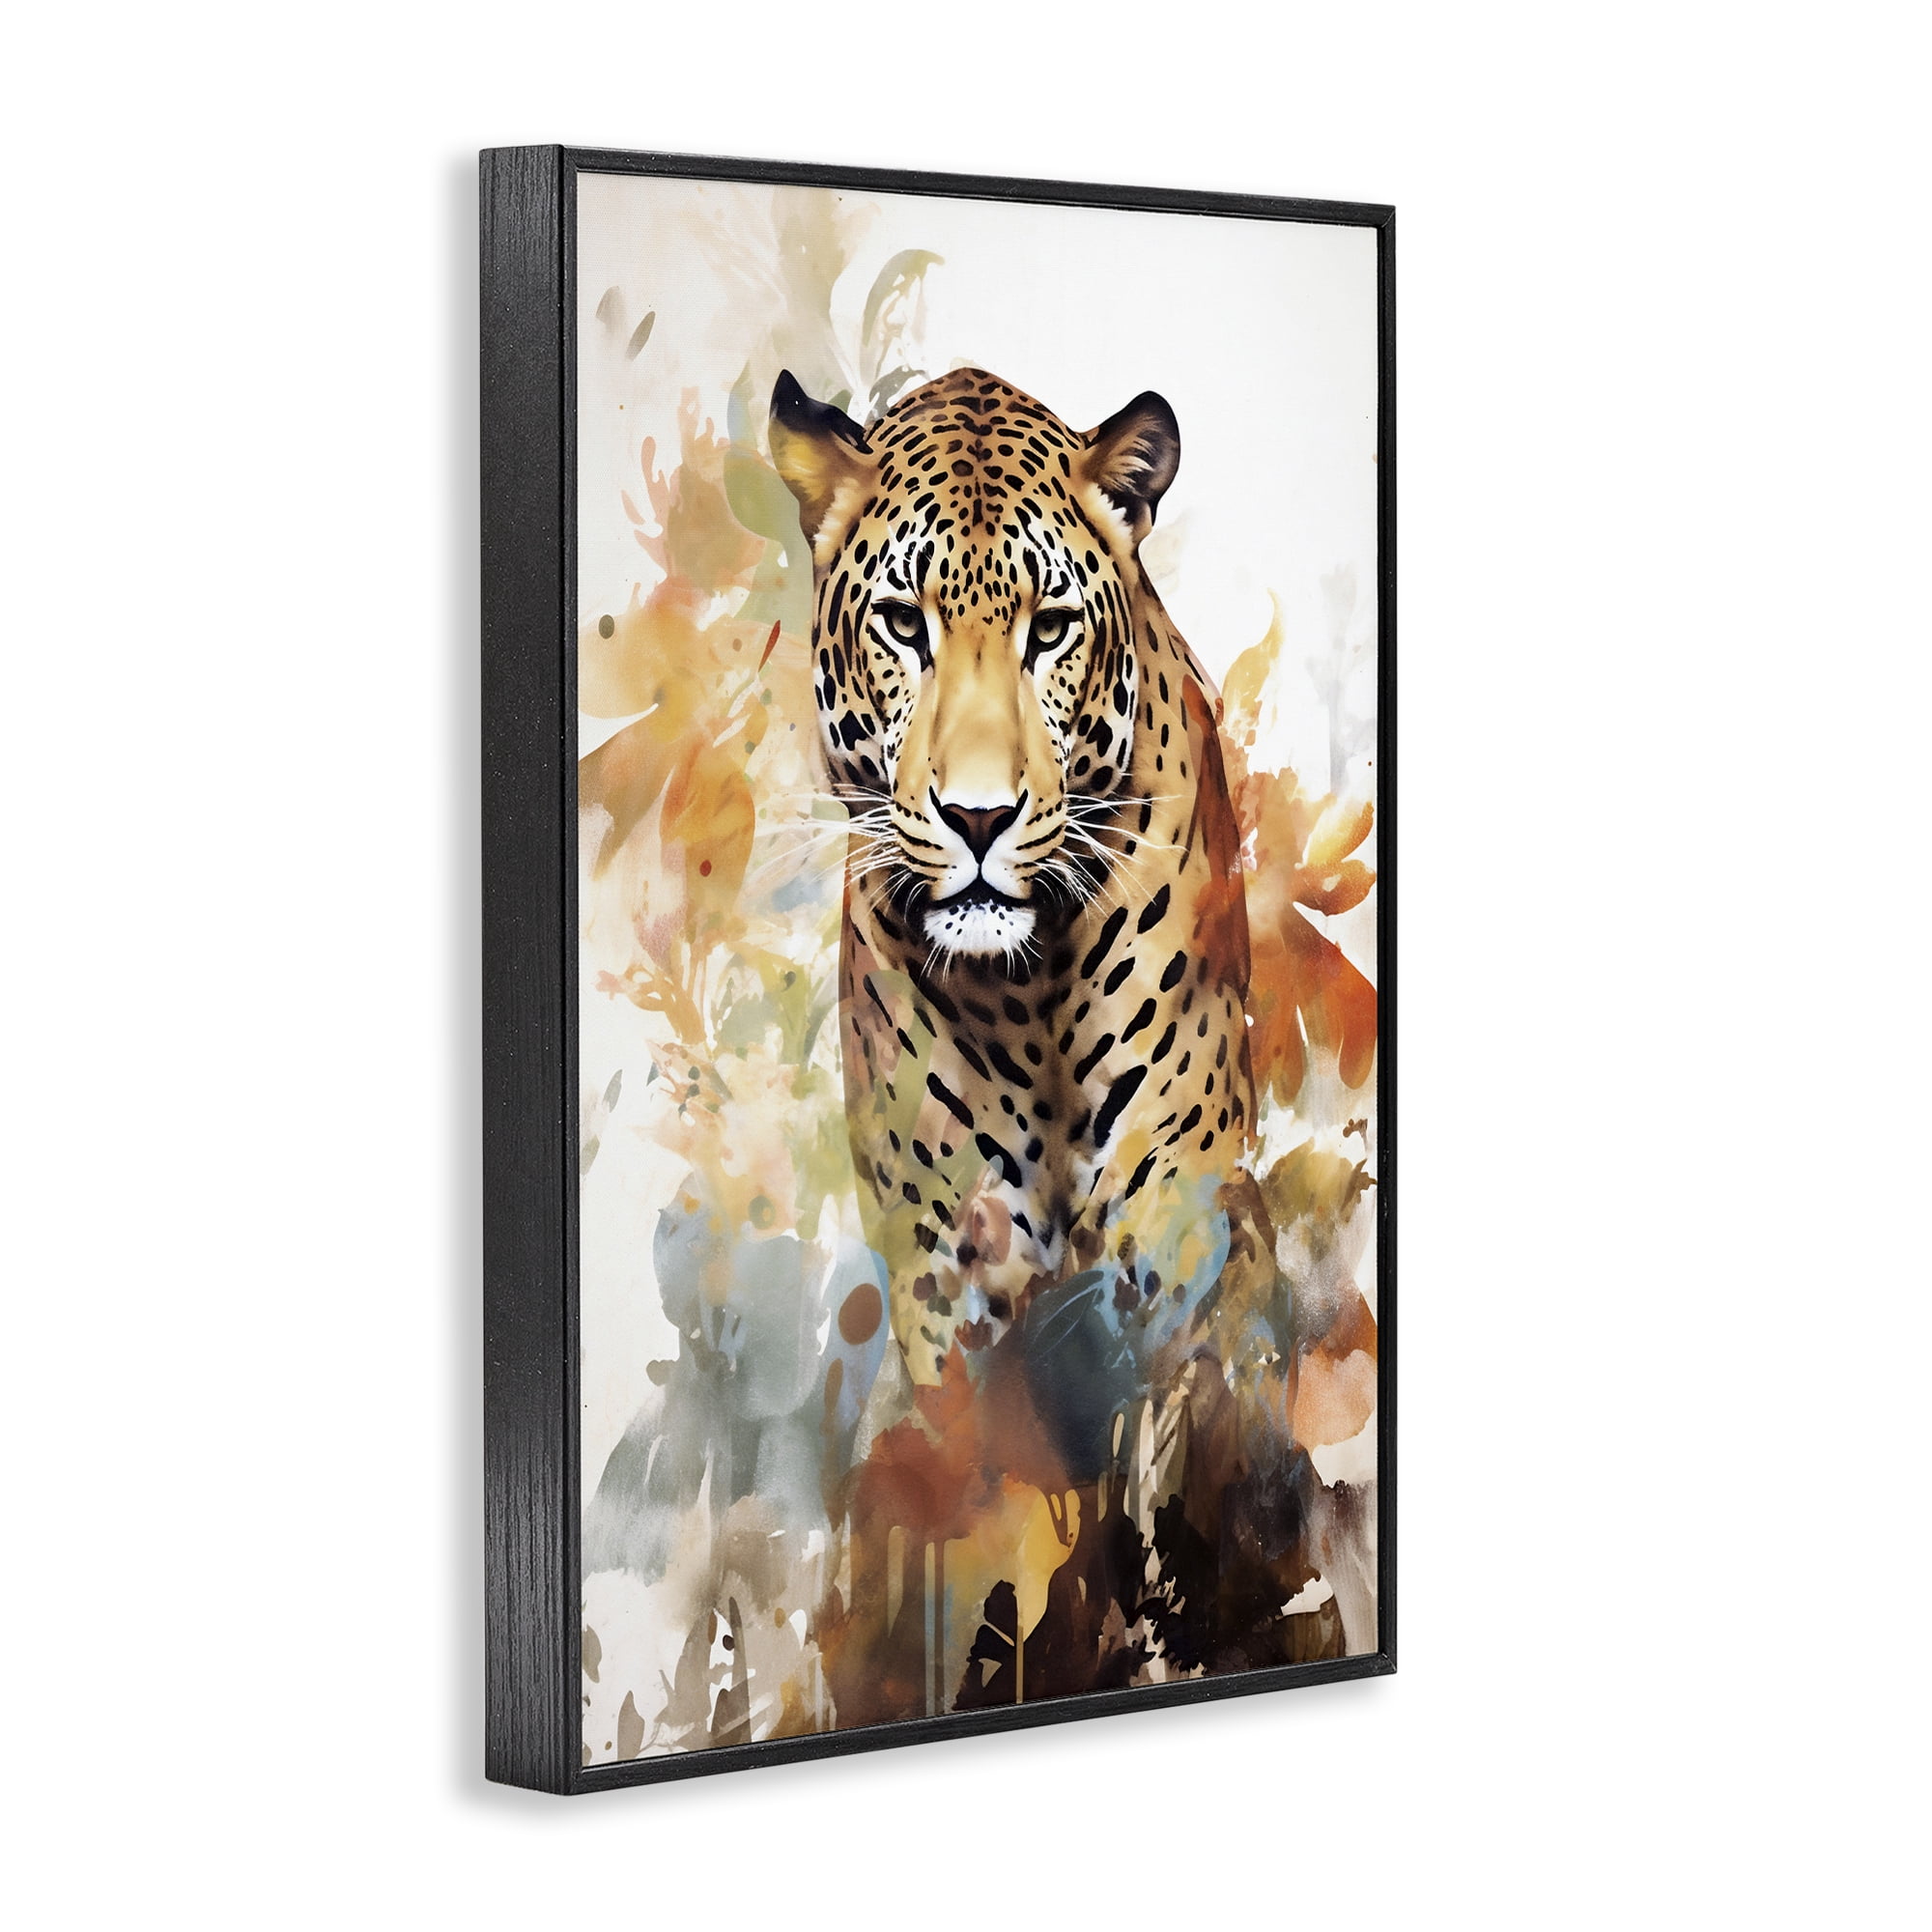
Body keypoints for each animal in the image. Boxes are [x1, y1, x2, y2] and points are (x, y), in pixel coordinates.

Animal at [770, 366, 1257, 1397]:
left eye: (1053, 630)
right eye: (903, 623)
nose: (980, 817)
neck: (1027, 997)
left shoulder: (1175, 1214)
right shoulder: (943, 1260)